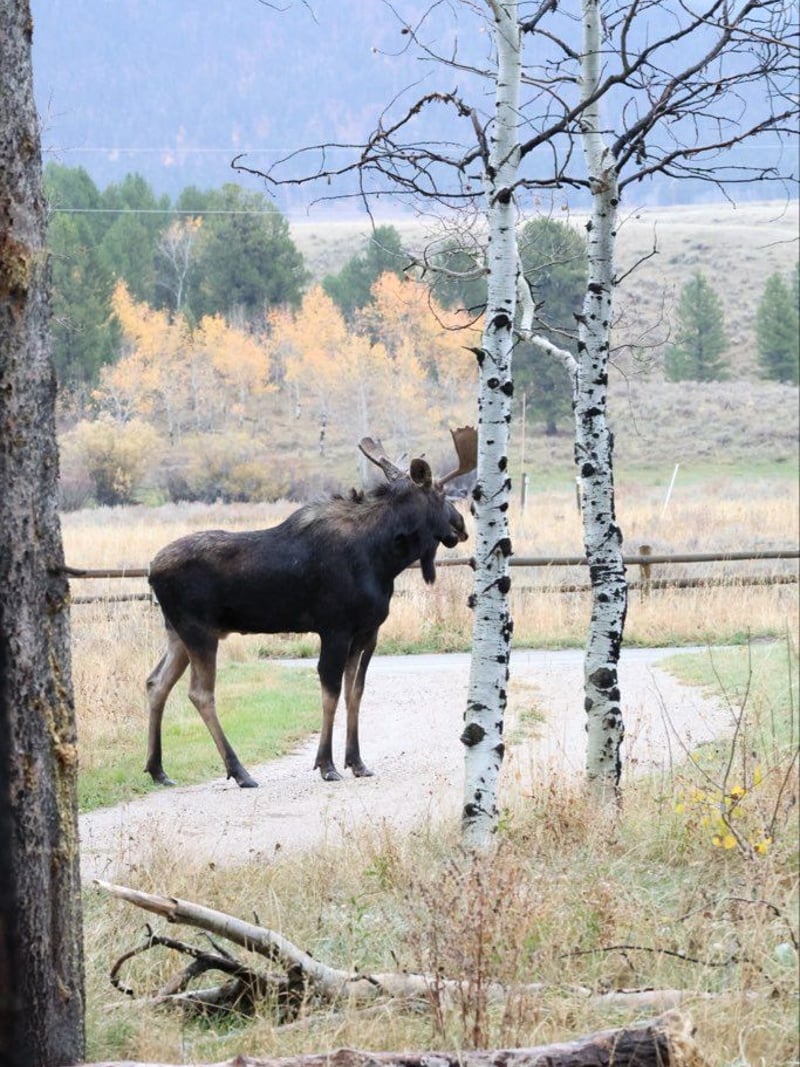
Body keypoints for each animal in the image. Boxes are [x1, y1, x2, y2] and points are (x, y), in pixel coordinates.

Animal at [144, 427, 477, 788]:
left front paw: (357, 761)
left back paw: (158, 769)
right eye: (441, 494)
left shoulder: (367, 632)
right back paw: (239, 771)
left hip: (176, 633)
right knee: (200, 693)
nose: (461, 526)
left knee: (156, 683)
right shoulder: (335, 628)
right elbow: (330, 691)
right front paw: (326, 764)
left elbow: (354, 692)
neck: (385, 558)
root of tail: (151, 570)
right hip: (199, 631)